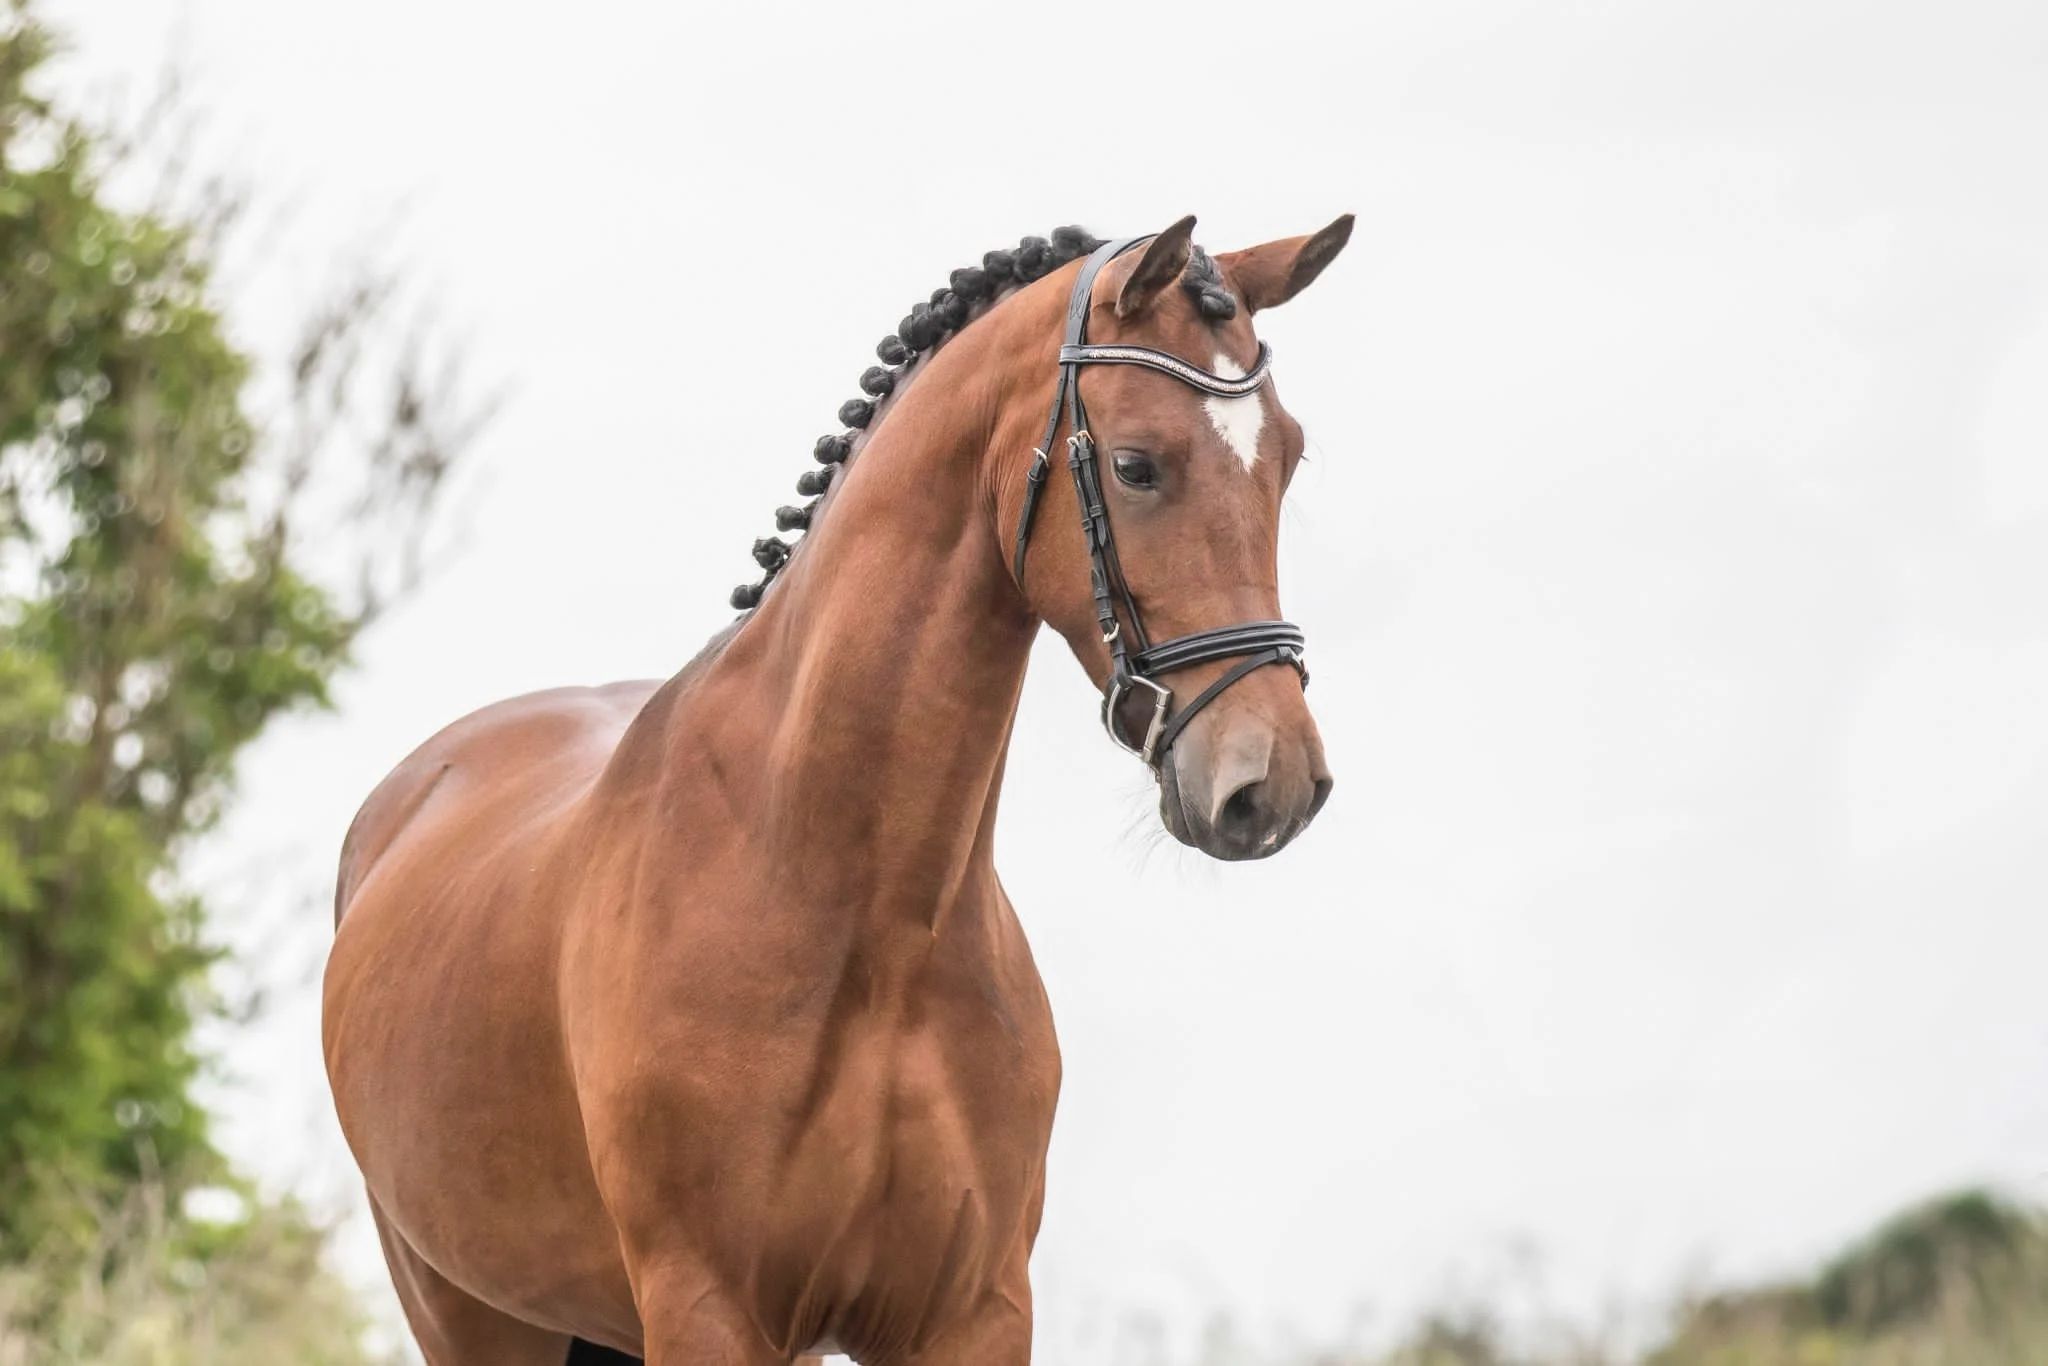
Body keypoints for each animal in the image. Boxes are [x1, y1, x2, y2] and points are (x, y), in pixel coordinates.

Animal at [323, 214, 1352, 1365]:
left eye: (1287, 458)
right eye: (1136, 465)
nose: (1272, 782)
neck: (862, 921)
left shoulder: (972, 1313)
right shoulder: (708, 1309)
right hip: (467, 1314)